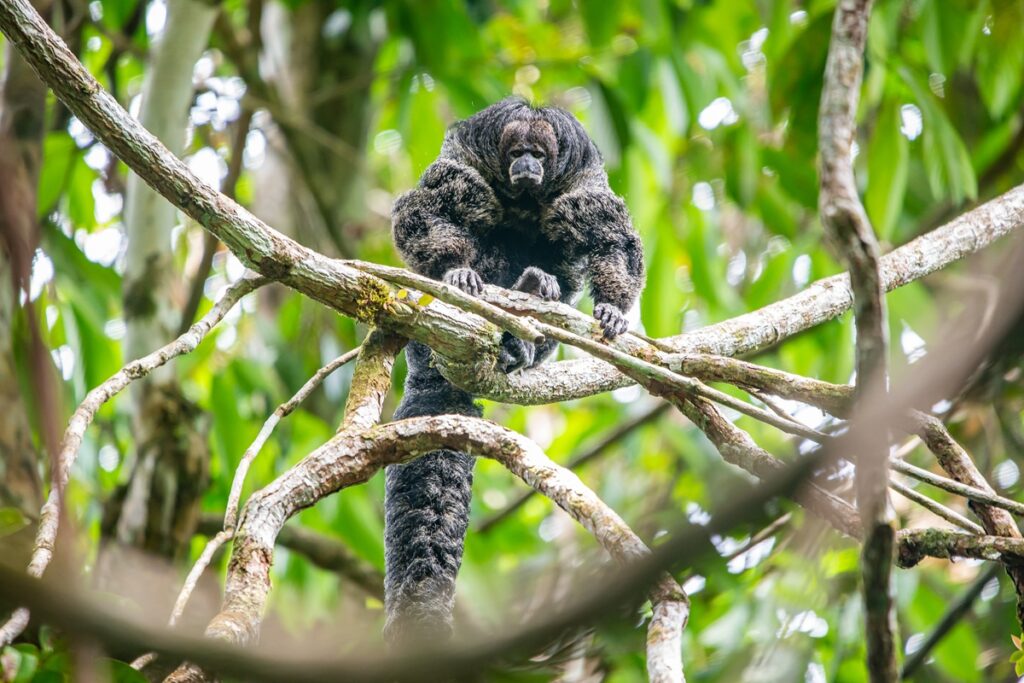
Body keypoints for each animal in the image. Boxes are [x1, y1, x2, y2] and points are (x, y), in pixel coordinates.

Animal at [385, 97, 644, 644]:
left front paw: (613, 308)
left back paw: (525, 322)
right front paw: (454, 271)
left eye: (539, 154)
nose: (526, 163)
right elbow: (430, 208)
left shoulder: (580, 175)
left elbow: (610, 237)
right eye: (516, 151)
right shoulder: (468, 156)